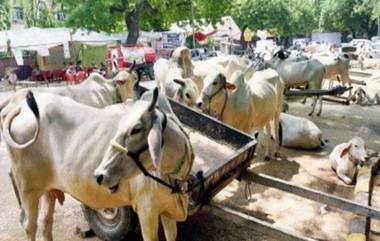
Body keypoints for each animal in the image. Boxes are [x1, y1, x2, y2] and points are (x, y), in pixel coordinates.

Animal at [4, 89, 194, 241]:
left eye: (136, 129)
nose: (99, 174)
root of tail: (22, 108)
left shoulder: (167, 212)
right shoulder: (146, 211)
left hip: (47, 190)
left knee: (45, 221)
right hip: (27, 190)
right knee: (29, 224)